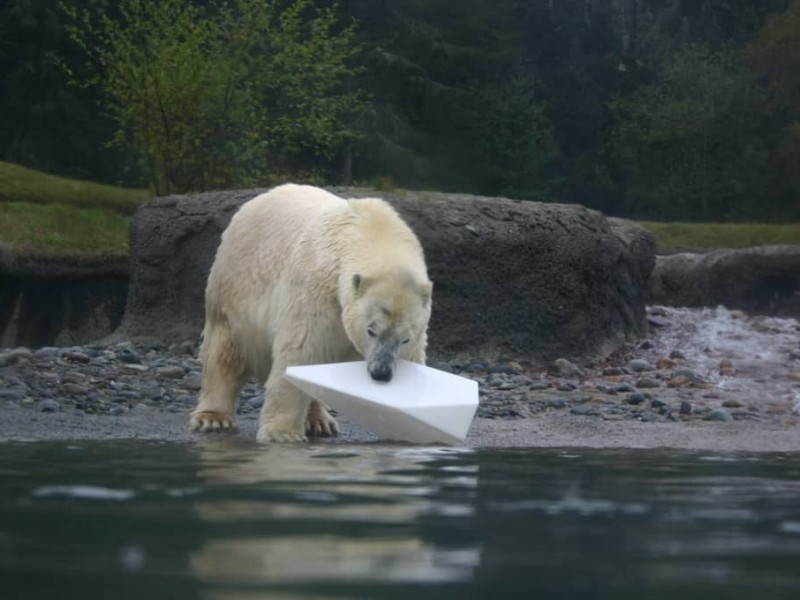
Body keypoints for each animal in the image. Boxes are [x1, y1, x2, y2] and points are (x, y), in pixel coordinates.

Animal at [188, 185, 432, 442]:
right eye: (371, 330)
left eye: (405, 339)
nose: (381, 373)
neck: (371, 230)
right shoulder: (316, 292)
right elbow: (302, 352)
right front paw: (282, 434)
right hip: (234, 291)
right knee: (225, 353)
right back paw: (212, 418)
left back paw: (319, 421)